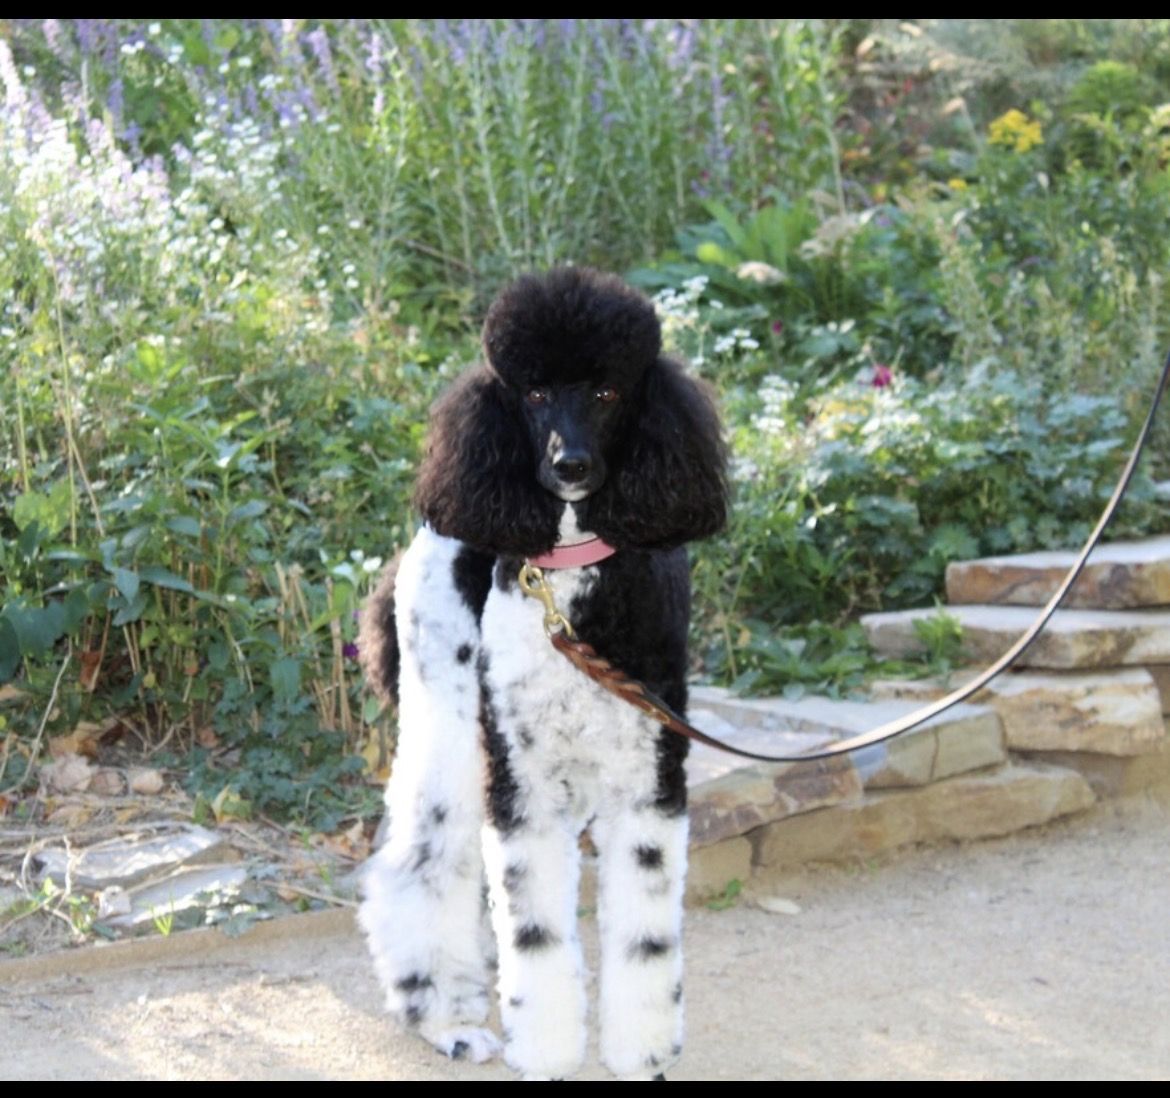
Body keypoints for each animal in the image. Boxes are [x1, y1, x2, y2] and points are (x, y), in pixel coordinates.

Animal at [358, 267, 727, 1078]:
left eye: (609, 390)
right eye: (531, 393)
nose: (570, 466)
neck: (571, 581)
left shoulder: (649, 784)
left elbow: (645, 940)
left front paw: (639, 1052)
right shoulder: (522, 793)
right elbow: (538, 940)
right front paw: (551, 1052)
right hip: (449, 731)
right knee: (417, 865)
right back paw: (442, 1019)